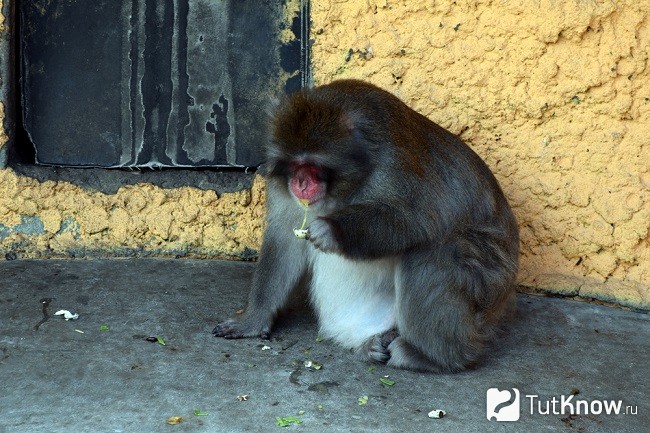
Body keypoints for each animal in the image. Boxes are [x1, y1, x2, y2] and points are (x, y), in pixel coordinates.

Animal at [213, 79, 516, 370]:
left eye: (312, 165)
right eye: (294, 164)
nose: (300, 183)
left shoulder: (395, 166)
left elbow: (414, 221)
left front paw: (332, 230)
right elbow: (284, 240)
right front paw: (253, 320)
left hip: (488, 285)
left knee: (435, 252)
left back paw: (437, 357)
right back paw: (375, 343)